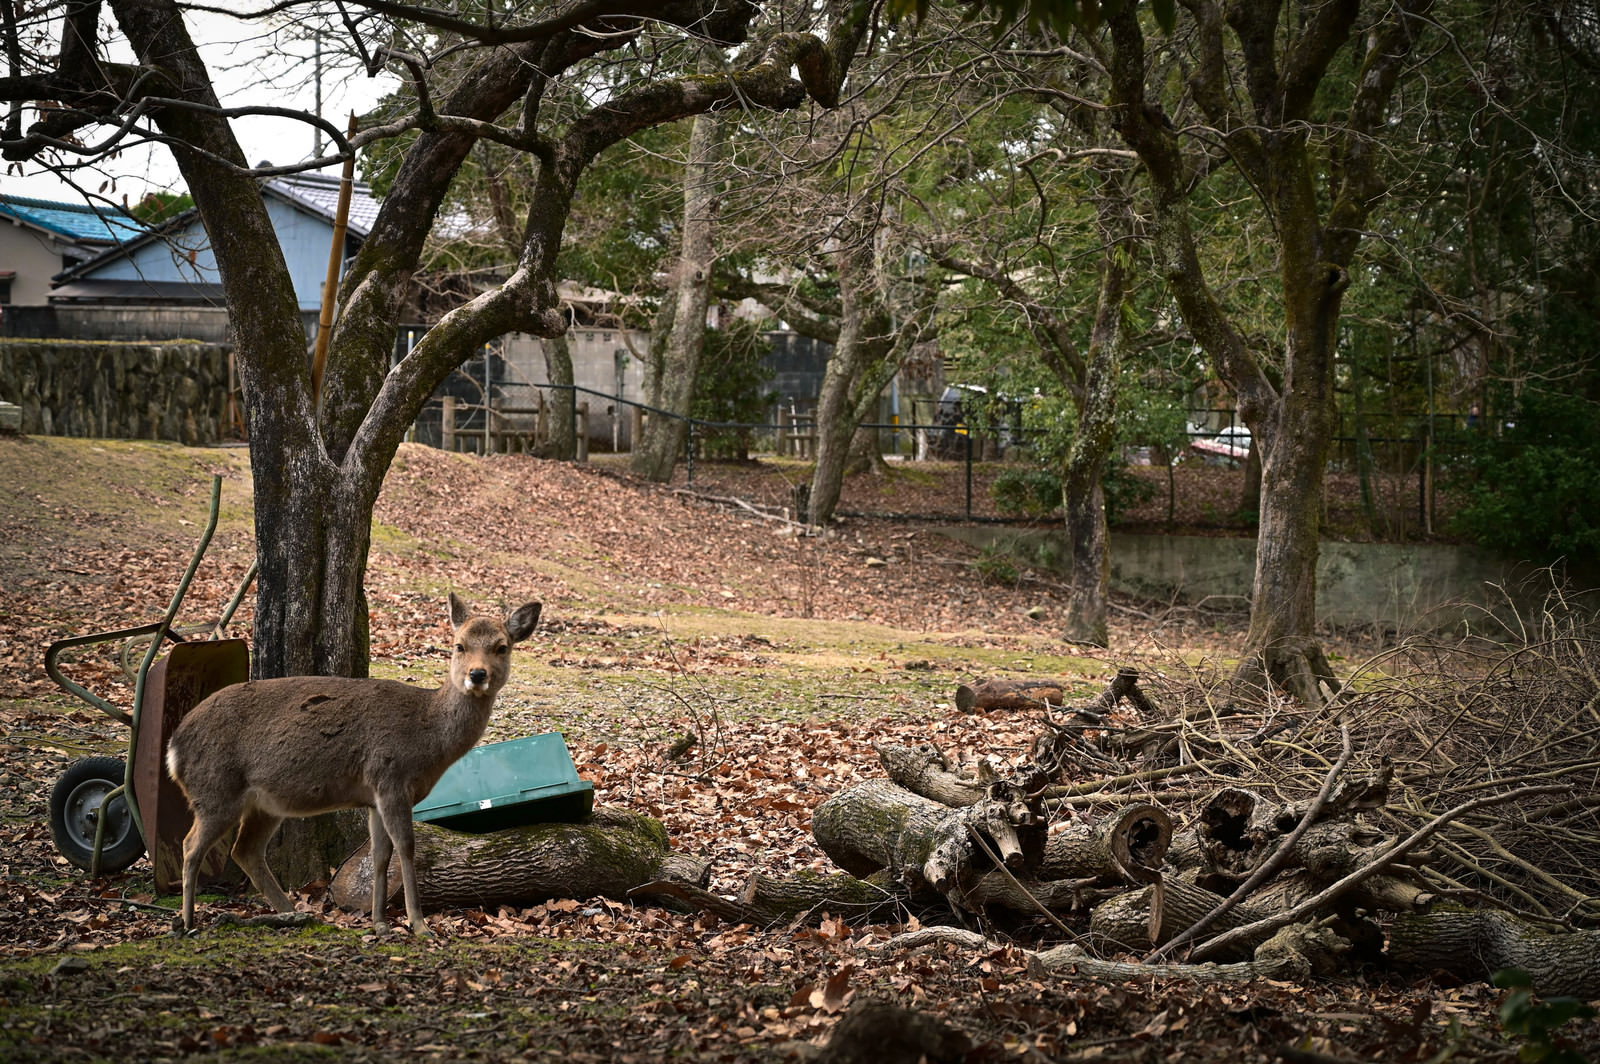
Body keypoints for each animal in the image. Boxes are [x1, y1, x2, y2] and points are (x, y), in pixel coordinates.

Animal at [166, 593, 542, 936]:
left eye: (502, 647)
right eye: (459, 645)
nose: (477, 675)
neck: (427, 737)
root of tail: (174, 747)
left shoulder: (373, 797)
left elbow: (379, 855)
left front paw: (379, 922)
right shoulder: (390, 777)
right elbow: (406, 848)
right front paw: (419, 925)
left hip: (264, 803)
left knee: (245, 850)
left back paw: (292, 914)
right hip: (216, 789)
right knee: (191, 845)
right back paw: (187, 921)